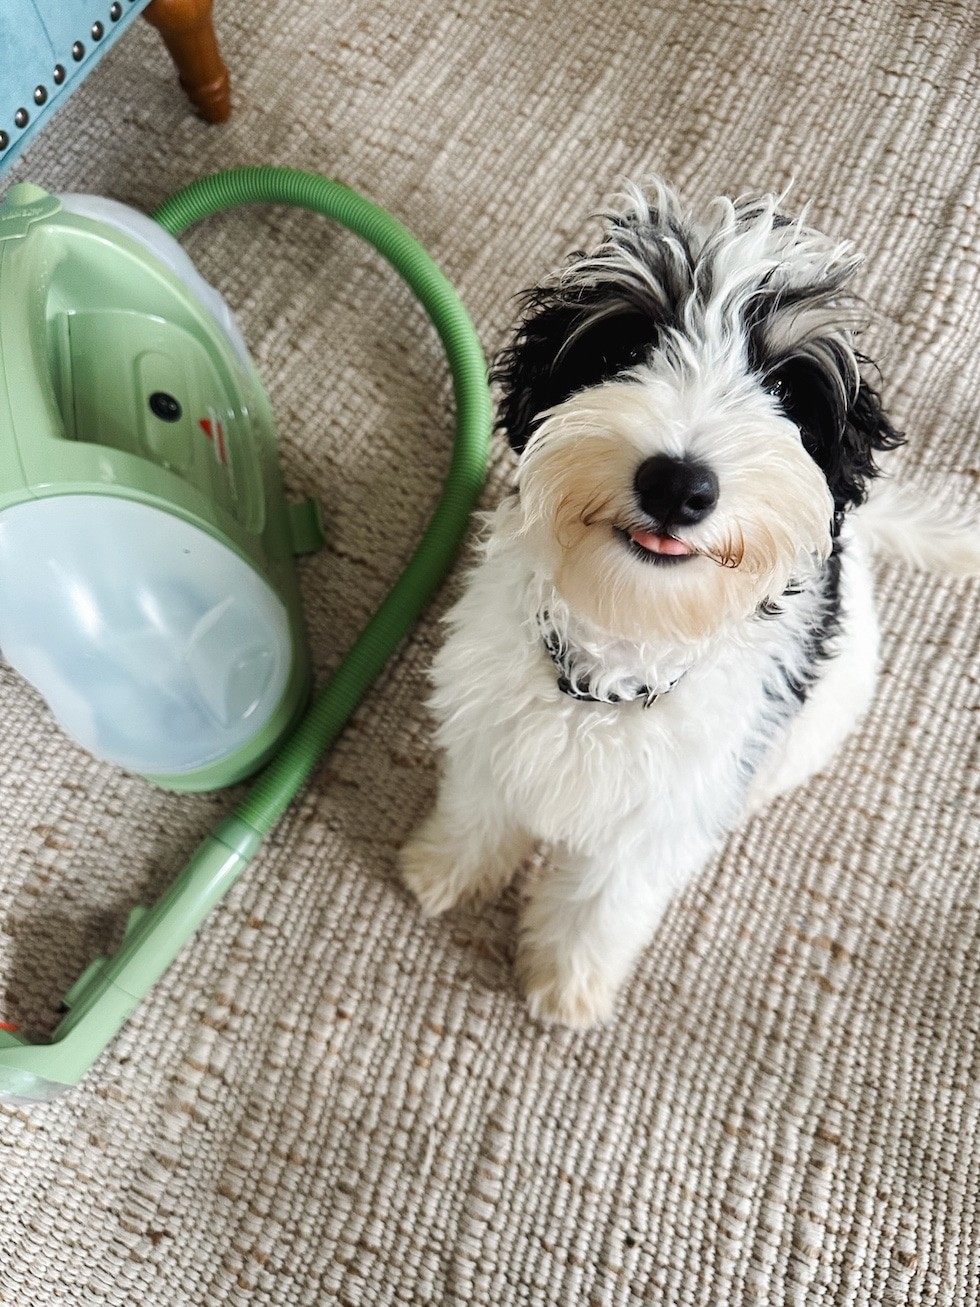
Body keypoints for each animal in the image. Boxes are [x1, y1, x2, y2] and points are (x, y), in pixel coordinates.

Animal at [399, 179, 980, 1024]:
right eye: (623, 350)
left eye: (783, 387)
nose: (678, 484)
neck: (620, 649)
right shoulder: (490, 732)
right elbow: (480, 806)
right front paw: (447, 866)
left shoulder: (660, 821)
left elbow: (606, 898)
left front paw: (568, 977)